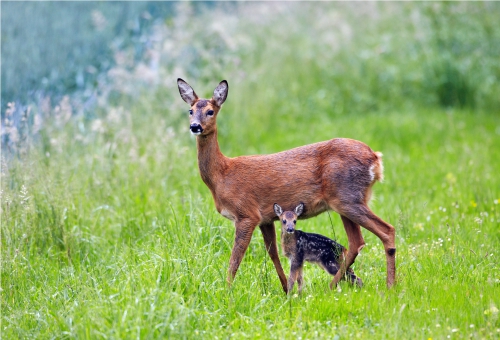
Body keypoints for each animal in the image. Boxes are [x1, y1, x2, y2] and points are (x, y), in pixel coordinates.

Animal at [178, 78, 396, 294]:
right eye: (190, 111)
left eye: (210, 111)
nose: (195, 126)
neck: (222, 175)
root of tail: (376, 159)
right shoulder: (265, 218)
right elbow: (273, 252)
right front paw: (285, 288)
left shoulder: (246, 214)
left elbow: (235, 258)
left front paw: (227, 291)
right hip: (347, 200)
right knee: (356, 242)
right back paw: (338, 284)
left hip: (347, 197)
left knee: (386, 230)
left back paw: (389, 285)